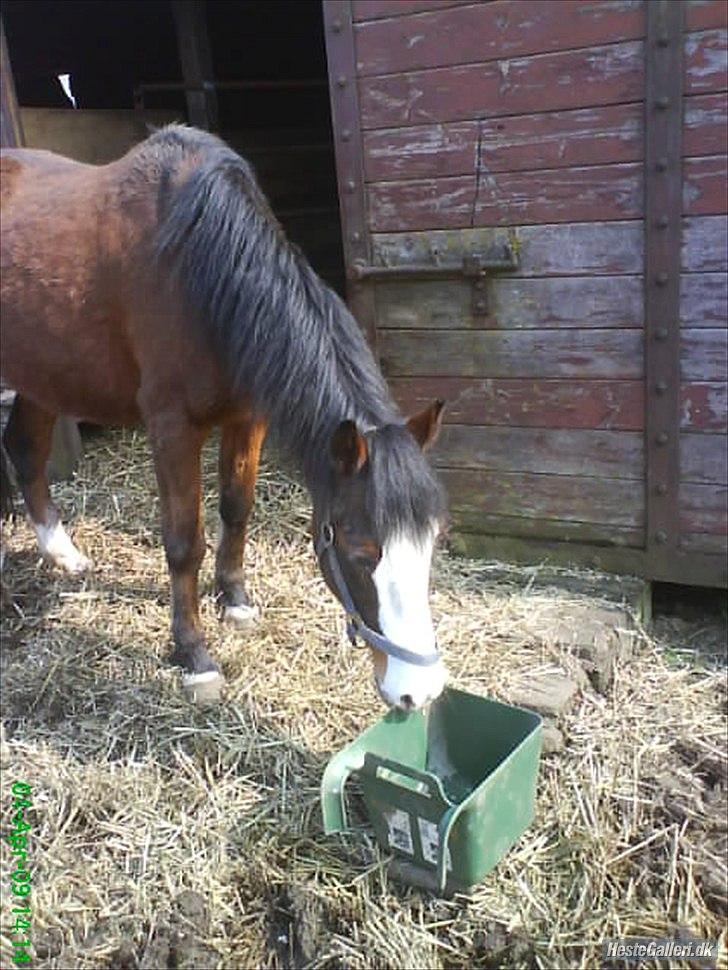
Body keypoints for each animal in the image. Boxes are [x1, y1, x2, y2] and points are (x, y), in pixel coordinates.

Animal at [0, 125, 448, 709]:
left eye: (432, 541)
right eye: (359, 551)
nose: (419, 691)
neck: (198, 268)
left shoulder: (247, 416)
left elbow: (237, 508)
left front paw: (234, 601)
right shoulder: (172, 427)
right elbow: (183, 542)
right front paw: (193, 655)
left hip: (43, 371)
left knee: (25, 450)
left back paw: (62, 555)